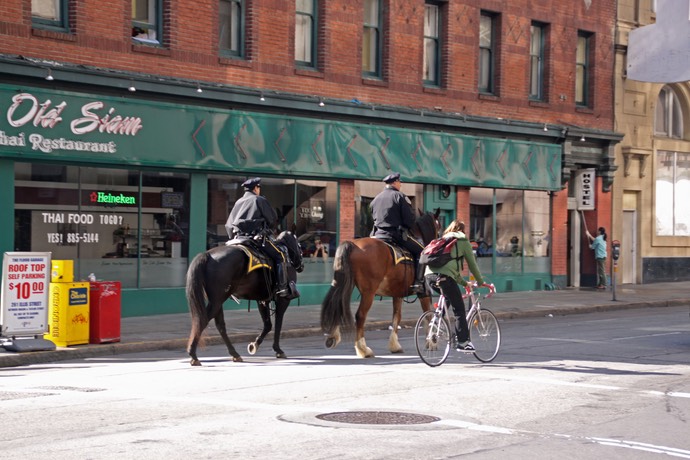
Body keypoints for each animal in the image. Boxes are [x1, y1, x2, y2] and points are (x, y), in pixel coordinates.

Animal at [185, 232, 300, 368]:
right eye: (299, 245)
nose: (301, 265)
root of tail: (207, 255)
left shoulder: (262, 300)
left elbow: (268, 325)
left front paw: (254, 345)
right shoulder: (283, 300)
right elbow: (278, 324)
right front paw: (278, 349)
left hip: (217, 301)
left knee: (220, 325)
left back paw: (234, 354)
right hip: (218, 300)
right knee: (203, 321)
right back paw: (193, 354)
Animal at [320, 210, 438, 358]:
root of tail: (353, 244)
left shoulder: (397, 294)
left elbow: (397, 317)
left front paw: (395, 345)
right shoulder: (424, 292)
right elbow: (428, 316)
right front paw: (431, 342)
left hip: (344, 282)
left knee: (337, 305)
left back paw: (333, 338)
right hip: (368, 292)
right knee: (360, 315)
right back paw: (363, 349)